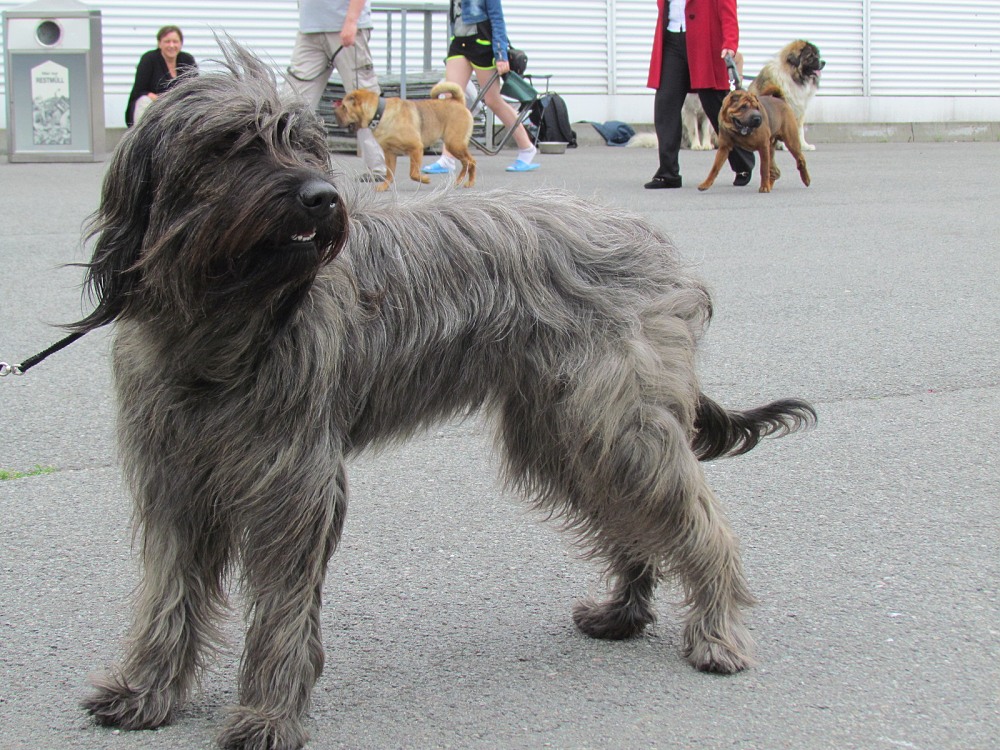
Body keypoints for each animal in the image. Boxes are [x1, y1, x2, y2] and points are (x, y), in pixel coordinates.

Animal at [336, 82, 476, 192]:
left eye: (344, 107)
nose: (335, 114)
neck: (379, 113)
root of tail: (458, 102)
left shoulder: (416, 148)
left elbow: (413, 173)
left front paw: (424, 179)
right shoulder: (390, 154)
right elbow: (389, 174)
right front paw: (384, 186)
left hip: (454, 144)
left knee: (471, 162)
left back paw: (470, 182)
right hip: (454, 145)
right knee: (466, 163)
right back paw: (459, 181)